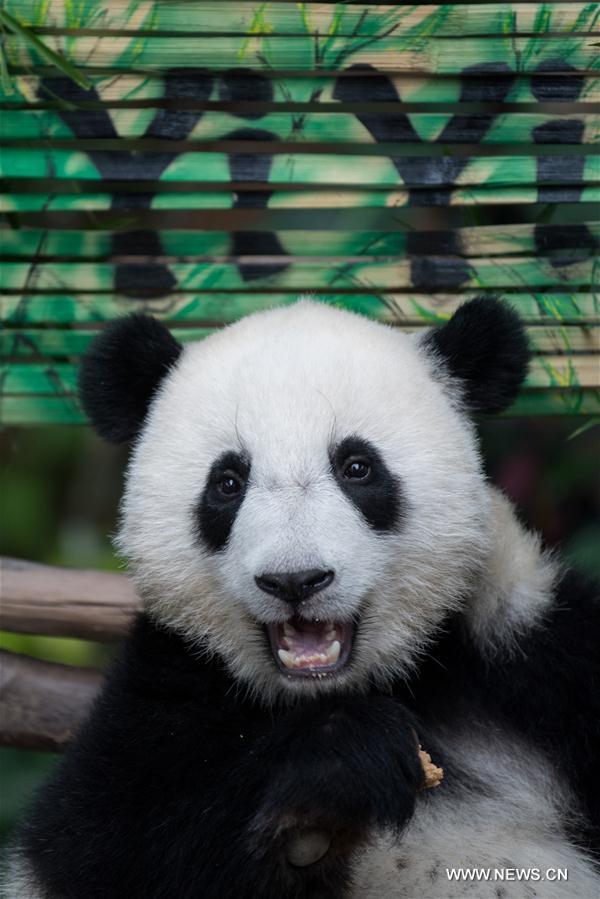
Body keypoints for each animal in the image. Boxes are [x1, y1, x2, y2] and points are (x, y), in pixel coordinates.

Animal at [5, 298, 600, 896]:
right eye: (227, 482)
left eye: (357, 467)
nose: (294, 580)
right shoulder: (163, 692)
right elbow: (106, 846)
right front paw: (337, 768)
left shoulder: (531, 656)